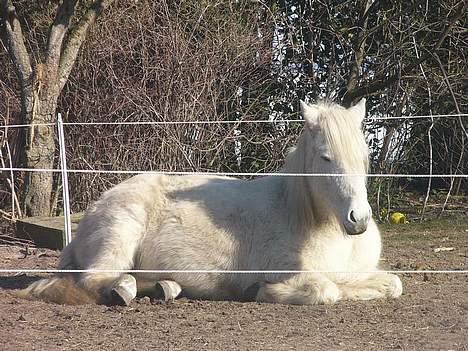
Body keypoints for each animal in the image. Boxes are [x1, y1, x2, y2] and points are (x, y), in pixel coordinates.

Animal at [19, 99, 402, 306]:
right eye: (325, 157)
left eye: (365, 156)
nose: (358, 219)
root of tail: (96, 207)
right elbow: (327, 291)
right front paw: (261, 292)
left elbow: (392, 284)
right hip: (119, 236)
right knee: (99, 279)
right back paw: (125, 291)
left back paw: (166, 288)